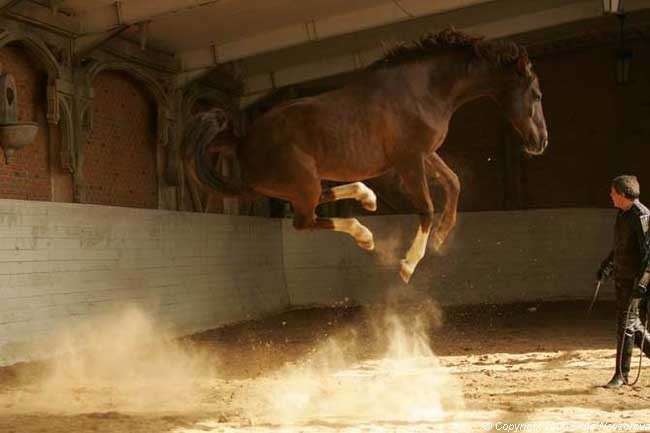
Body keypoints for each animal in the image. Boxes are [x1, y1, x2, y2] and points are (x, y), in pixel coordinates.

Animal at [184, 27, 548, 284]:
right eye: (536, 94)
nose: (540, 142)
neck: (423, 89)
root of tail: (242, 141)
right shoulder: (409, 160)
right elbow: (426, 208)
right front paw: (408, 265)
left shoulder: (425, 153)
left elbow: (453, 182)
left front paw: (442, 237)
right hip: (299, 183)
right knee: (304, 221)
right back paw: (366, 234)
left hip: (298, 184)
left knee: (318, 203)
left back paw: (367, 201)